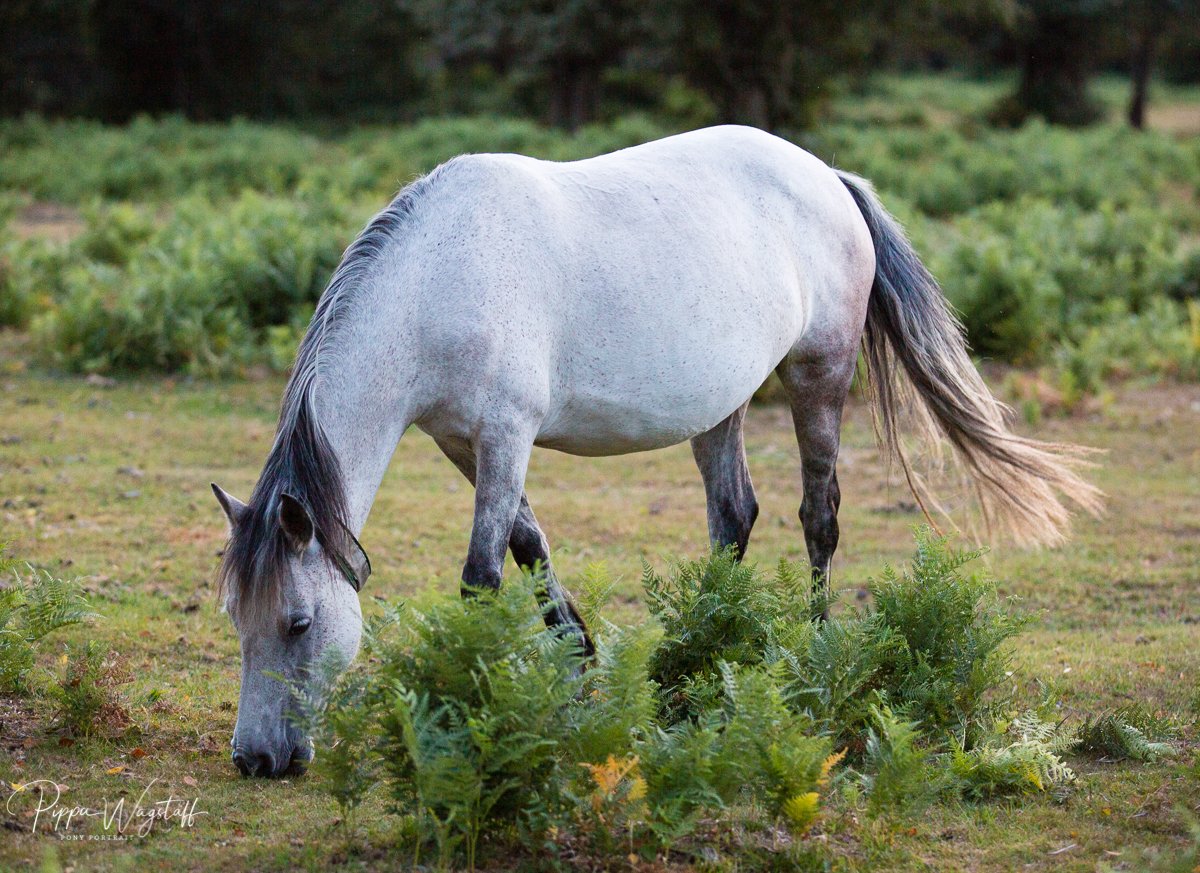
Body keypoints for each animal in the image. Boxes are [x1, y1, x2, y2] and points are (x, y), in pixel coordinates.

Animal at [210, 125, 1102, 778]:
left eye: (297, 621)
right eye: (235, 618)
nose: (257, 760)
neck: (442, 277)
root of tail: (827, 175)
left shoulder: (505, 435)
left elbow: (482, 576)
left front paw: (472, 698)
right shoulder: (466, 443)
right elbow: (531, 547)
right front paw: (580, 662)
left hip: (819, 375)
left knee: (818, 514)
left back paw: (814, 650)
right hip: (722, 403)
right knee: (734, 514)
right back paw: (700, 649)